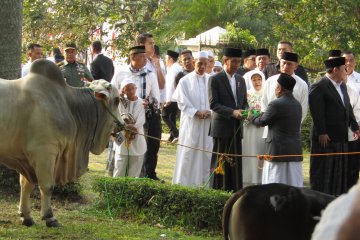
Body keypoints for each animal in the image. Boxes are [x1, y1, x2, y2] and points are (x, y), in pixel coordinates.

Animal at [0, 60, 121, 227]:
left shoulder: (27, 158)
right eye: (117, 100)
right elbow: (47, 186)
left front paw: (26, 216)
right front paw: (49, 217)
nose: (124, 123)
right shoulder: (44, 151)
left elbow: (26, 185)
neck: (68, 104)